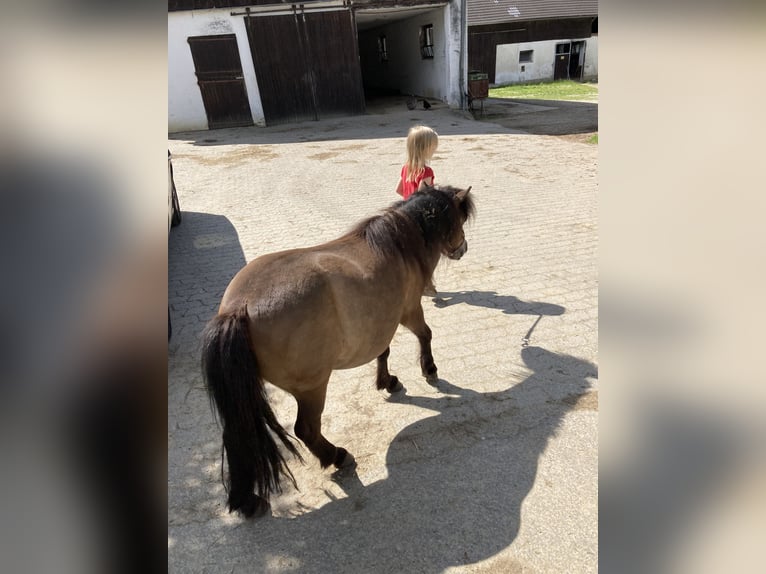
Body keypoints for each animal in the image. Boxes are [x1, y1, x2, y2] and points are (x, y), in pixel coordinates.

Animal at [202, 187, 474, 520]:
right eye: (459, 219)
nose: (463, 248)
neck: (397, 243)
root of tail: (239, 308)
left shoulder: (380, 321)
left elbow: (383, 351)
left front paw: (387, 381)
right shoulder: (409, 310)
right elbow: (425, 335)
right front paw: (429, 369)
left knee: (237, 434)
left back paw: (247, 500)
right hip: (313, 387)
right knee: (306, 429)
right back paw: (337, 456)